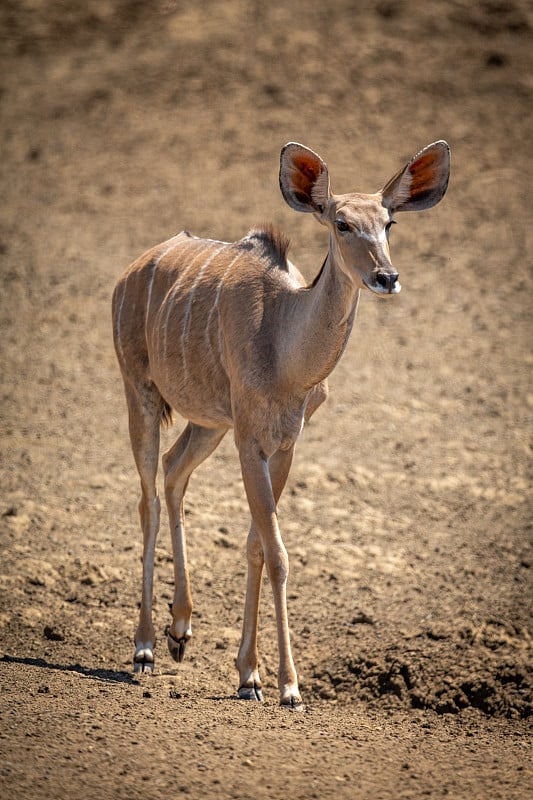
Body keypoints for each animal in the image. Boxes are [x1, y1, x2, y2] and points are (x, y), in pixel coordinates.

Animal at [111, 141, 448, 708]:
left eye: (389, 221)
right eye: (341, 222)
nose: (387, 277)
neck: (285, 347)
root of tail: (128, 274)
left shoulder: (285, 444)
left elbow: (257, 547)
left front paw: (250, 674)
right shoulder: (250, 441)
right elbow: (277, 551)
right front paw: (287, 685)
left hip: (209, 422)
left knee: (174, 472)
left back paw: (181, 630)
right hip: (141, 392)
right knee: (148, 499)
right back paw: (145, 647)